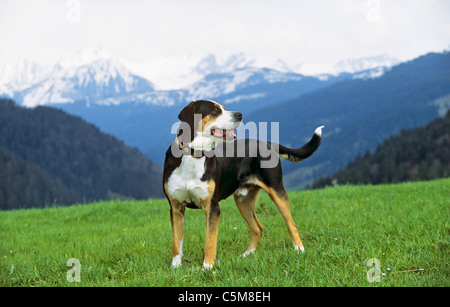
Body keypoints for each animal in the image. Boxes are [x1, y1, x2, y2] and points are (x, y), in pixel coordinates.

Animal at [163, 100, 322, 270]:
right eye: (215, 111)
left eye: (224, 108)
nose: (239, 114)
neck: (193, 155)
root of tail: (266, 143)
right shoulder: (176, 208)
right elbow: (176, 242)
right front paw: (175, 268)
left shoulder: (211, 207)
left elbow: (210, 241)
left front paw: (207, 267)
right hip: (243, 201)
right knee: (257, 228)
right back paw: (247, 255)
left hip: (277, 190)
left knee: (291, 223)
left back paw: (299, 250)